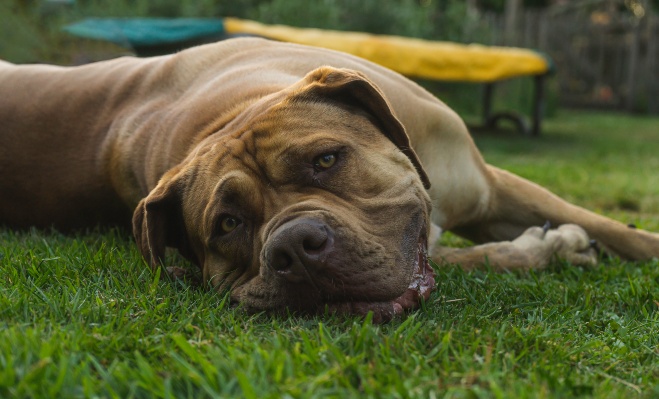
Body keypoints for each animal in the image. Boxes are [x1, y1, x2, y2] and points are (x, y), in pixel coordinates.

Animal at [1, 39, 659, 324]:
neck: (233, 107)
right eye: (227, 224)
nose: (295, 247)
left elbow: (602, 222)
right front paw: (552, 248)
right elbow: (484, 257)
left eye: (325, 160)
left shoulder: (487, 187)